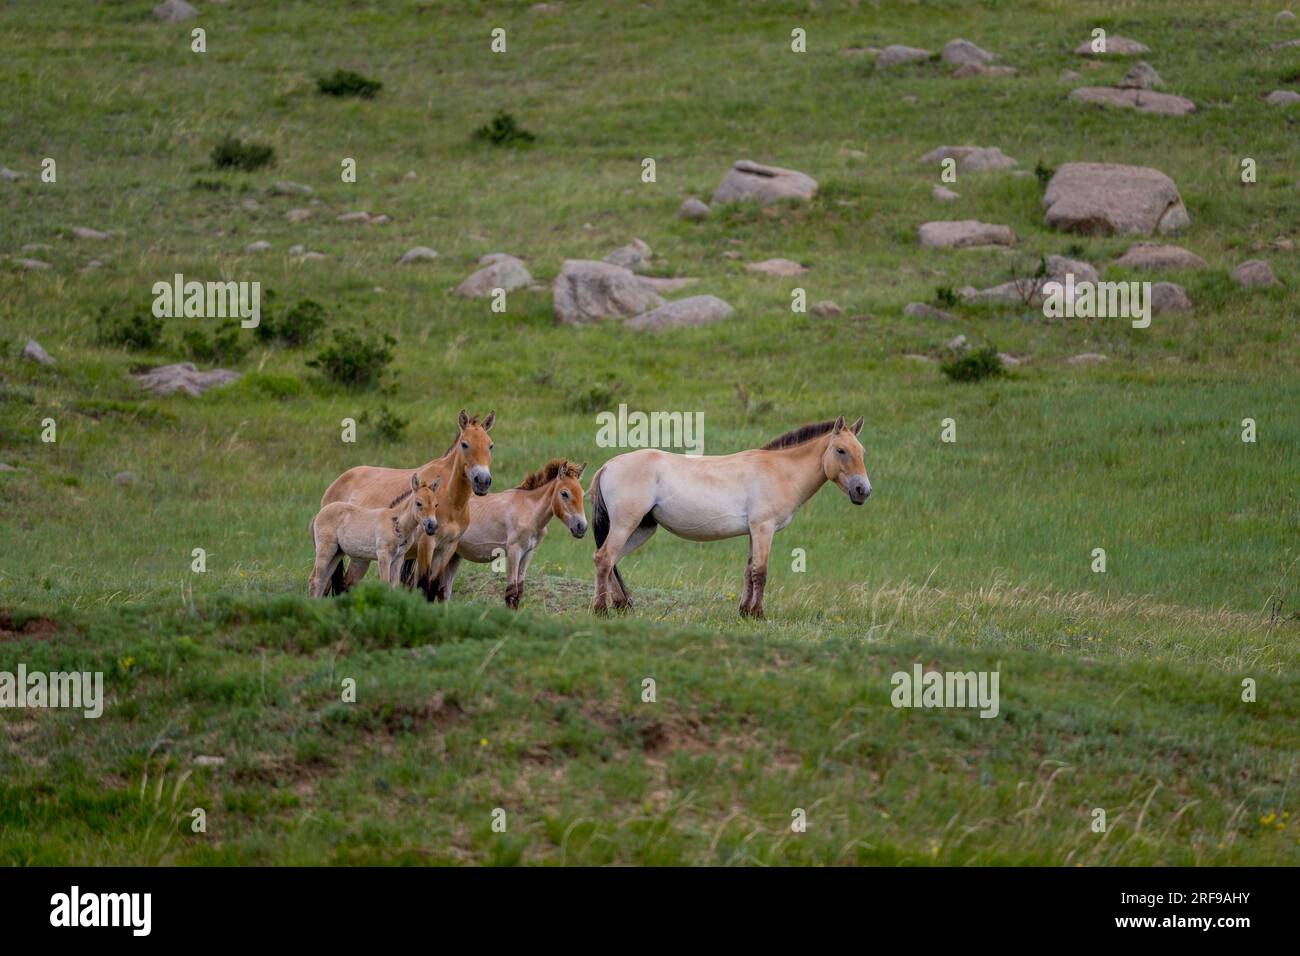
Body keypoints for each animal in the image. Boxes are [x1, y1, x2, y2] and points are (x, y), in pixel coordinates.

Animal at [309, 473, 441, 598]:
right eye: (419, 503)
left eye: (436, 505)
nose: (432, 526)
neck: (396, 525)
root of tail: (318, 514)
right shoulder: (384, 556)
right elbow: (385, 584)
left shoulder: (399, 558)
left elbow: (394, 587)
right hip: (326, 550)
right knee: (315, 579)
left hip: (337, 553)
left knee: (324, 580)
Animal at [439, 460, 592, 608]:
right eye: (564, 493)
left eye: (582, 493)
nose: (581, 527)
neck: (529, 511)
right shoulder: (514, 551)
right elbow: (511, 593)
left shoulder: (528, 553)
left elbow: (519, 592)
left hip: (455, 555)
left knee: (444, 591)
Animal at [592, 416, 873, 616]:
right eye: (840, 450)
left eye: (862, 452)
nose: (863, 490)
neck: (780, 470)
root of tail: (607, 465)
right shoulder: (764, 528)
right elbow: (761, 571)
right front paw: (758, 614)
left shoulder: (753, 531)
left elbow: (749, 571)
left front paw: (745, 612)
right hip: (626, 525)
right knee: (604, 558)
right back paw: (601, 610)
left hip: (642, 528)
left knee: (611, 560)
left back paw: (621, 605)